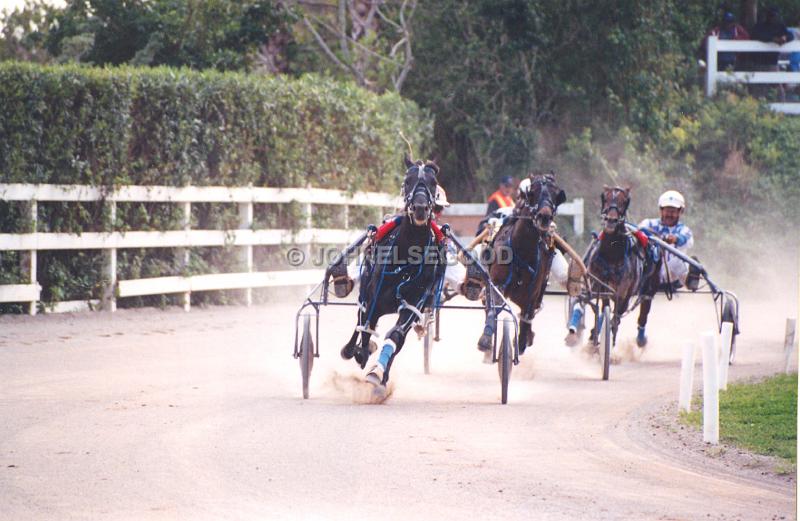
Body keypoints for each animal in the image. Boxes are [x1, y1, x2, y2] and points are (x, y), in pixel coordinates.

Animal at [340, 156, 450, 388]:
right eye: (407, 181)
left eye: (433, 182)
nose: (419, 208)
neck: (408, 255)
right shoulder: (374, 297)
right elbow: (365, 327)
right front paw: (360, 352)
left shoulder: (415, 302)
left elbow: (396, 336)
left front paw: (378, 373)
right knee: (360, 320)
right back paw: (351, 349)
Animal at [478, 173, 564, 356]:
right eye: (532, 193)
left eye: (556, 194)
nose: (544, 217)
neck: (521, 251)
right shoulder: (497, 283)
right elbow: (494, 305)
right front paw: (486, 338)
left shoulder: (532, 293)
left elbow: (526, 316)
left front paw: (523, 340)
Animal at [568, 185, 664, 348]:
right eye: (604, 197)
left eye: (625, 201)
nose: (611, 220)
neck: (611, 255)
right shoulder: (600, 284)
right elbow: (600, 307)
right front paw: (593, 335)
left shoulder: (623, 292)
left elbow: (615, 317)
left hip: (649, 287)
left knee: (642, 308)